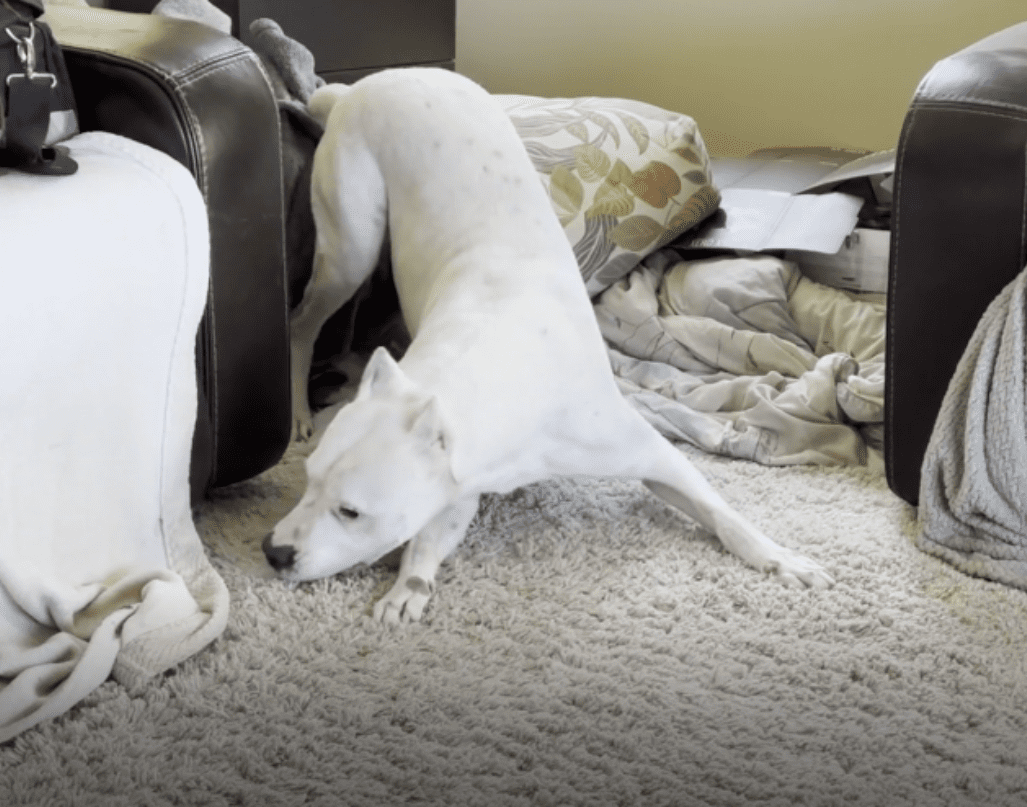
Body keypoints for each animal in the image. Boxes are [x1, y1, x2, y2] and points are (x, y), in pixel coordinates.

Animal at [262, 69, 833, 624]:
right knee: (303, 322)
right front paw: (408, 586)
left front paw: (779, 557)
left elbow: (722, 512)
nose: (272, 551)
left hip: (354, 251)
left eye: (351, 511)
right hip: (349, 248)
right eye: (306, 480)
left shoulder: (651, 456)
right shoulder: (458, 476)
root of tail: (364, 84)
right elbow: (429, 533)